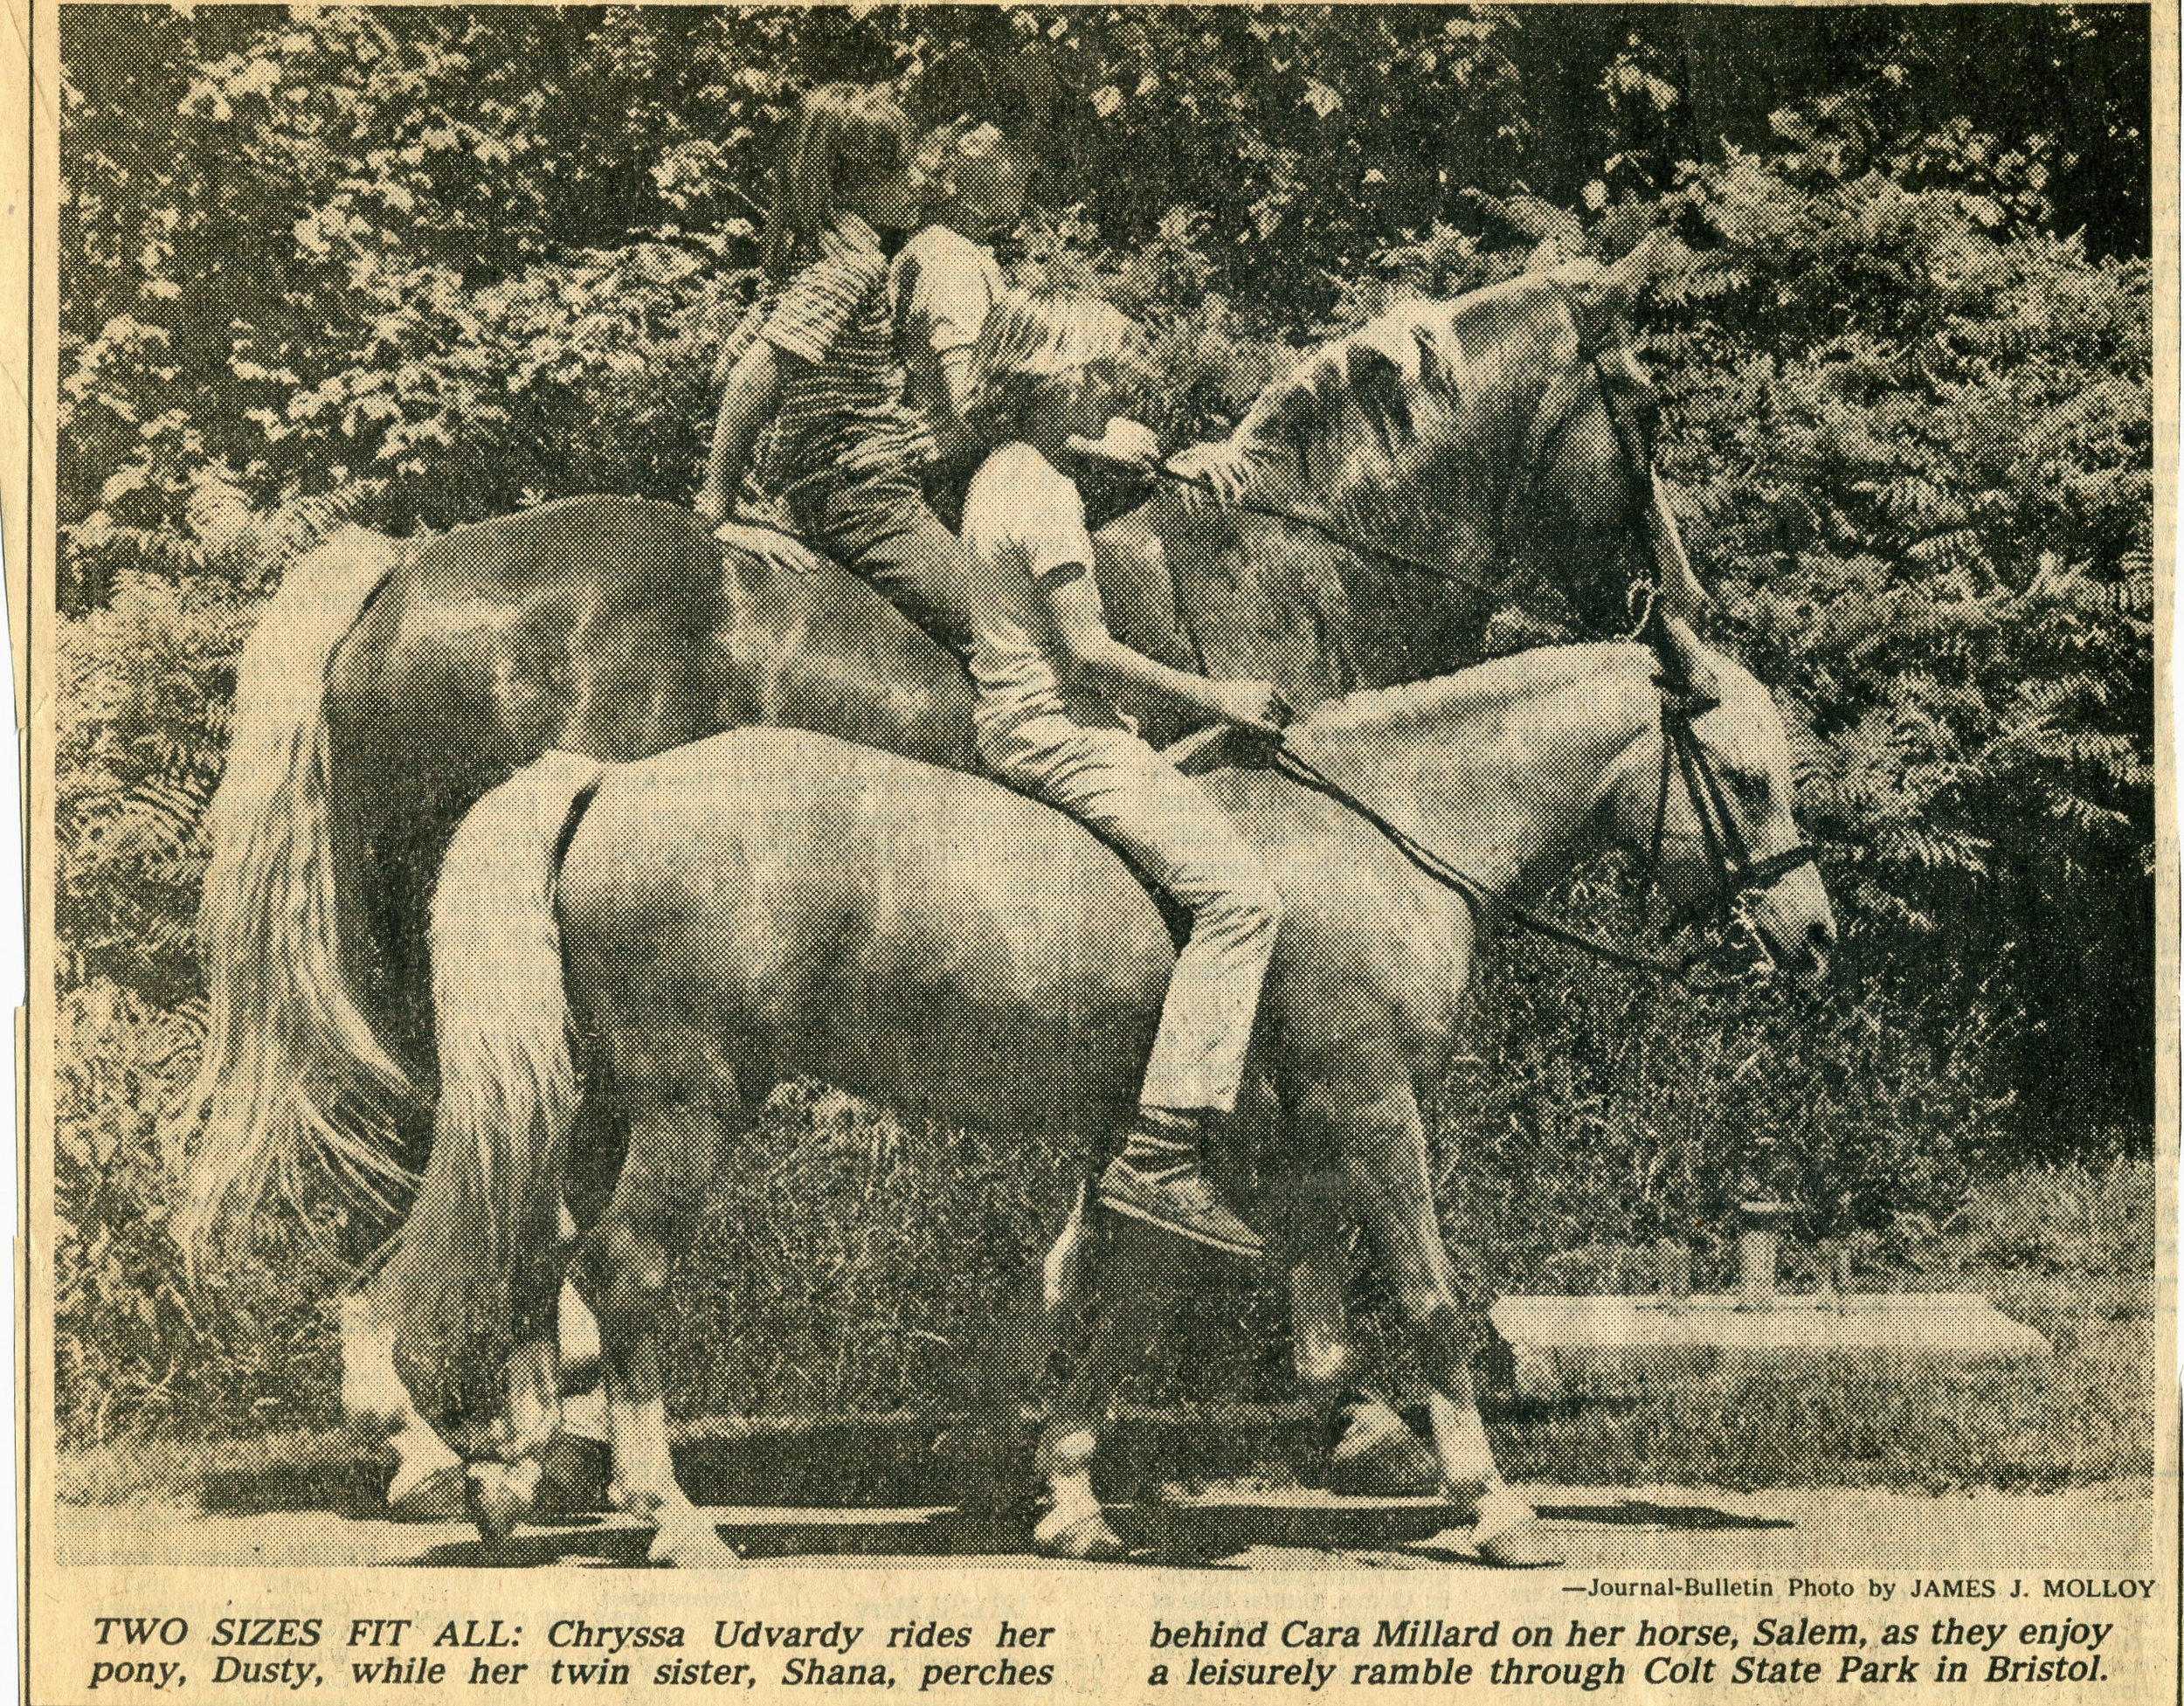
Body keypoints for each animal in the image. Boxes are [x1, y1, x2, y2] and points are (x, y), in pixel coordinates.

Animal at [376, 620, 1826, 1564]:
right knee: (625, 1269)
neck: (1381, 831)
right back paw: (662, 1511)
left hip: (603, 1107)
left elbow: (1113, 1300)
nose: (1810, 938)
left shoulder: (1186, 1144)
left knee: (542, 1253)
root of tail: (610, 776)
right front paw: (1492, 1500)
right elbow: (1418, 1292)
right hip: (692, 1103)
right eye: (1747, 779)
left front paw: (1073, 1495)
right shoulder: (1370, 1107)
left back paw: (511, 1475)